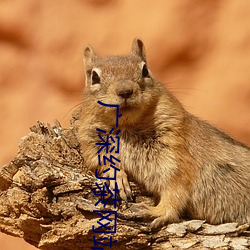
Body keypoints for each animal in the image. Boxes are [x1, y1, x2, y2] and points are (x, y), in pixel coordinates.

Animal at [77, 38, 249, 229]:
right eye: (94, 77)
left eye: (145, 70)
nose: (125, 91)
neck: (127, 127)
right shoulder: (90, 141)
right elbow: (98, 160)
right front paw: (116, 177)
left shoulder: (176, 154)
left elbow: (175, 189)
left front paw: (156, 211)